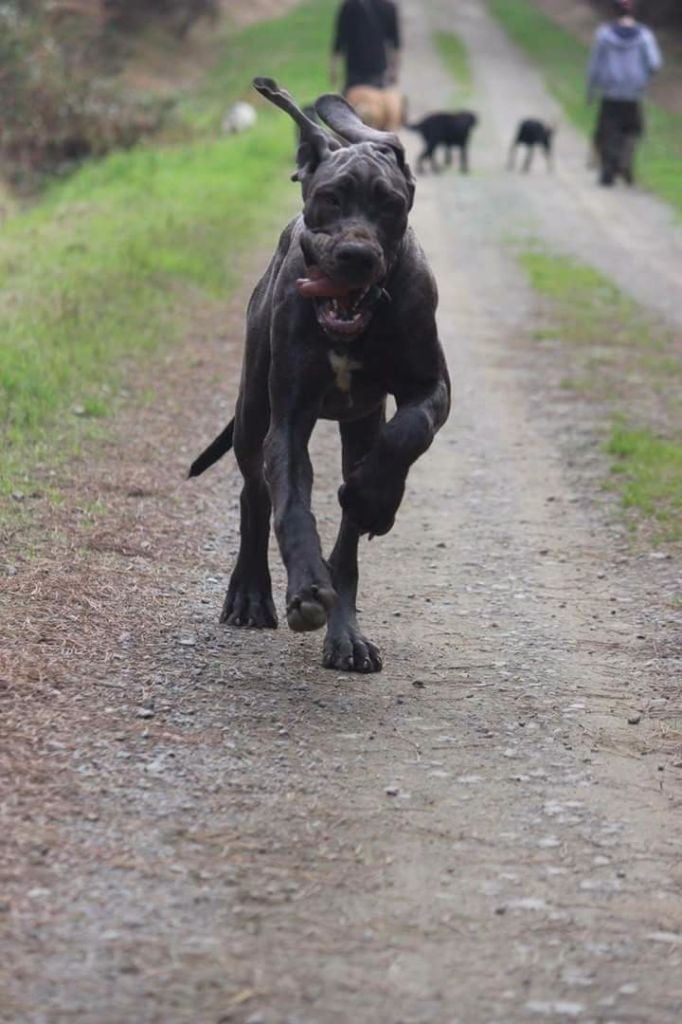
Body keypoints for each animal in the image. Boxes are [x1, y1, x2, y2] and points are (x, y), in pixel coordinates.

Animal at [188, 77, 448, 671]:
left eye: (390, 205)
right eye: (330, 198)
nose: (356, 255)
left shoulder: (432, 387)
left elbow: (408, 434)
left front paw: (375, 497)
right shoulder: (288, 418)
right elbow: (290, 504)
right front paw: (305, 588)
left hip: (358, 423)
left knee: (348, 540)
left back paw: (347, 632)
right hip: (252, 412)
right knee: (255, 495)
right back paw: (251, 594)